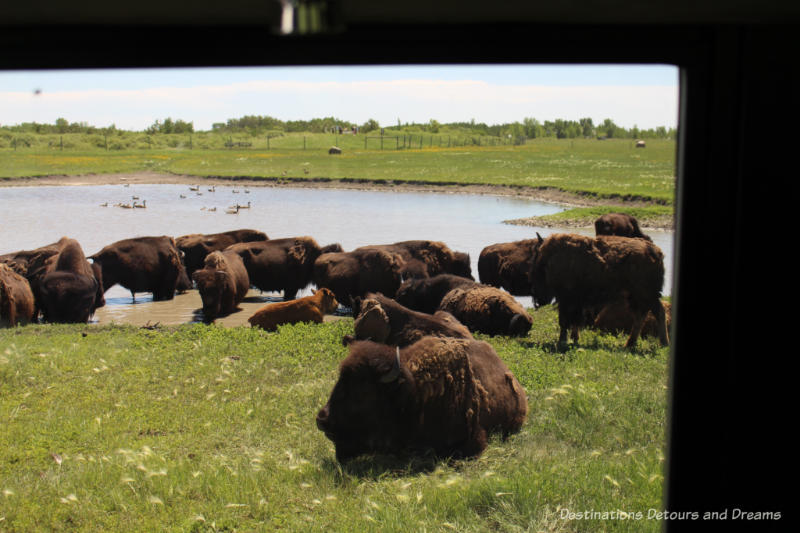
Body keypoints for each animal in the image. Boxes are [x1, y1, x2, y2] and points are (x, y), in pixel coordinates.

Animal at [532, 233, 668, 350]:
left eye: (539, 268)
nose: (537, 300)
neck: (551, 258)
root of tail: (656, 251)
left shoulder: (567, 299)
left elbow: (565, 321)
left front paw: (562, 341)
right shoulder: (576, 301)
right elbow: (574, 321)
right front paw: (573, 339)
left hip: (645, 295)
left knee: (657, 313)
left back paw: (662, 343)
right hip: (638, 297)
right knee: (642, 316)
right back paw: (631, 344)